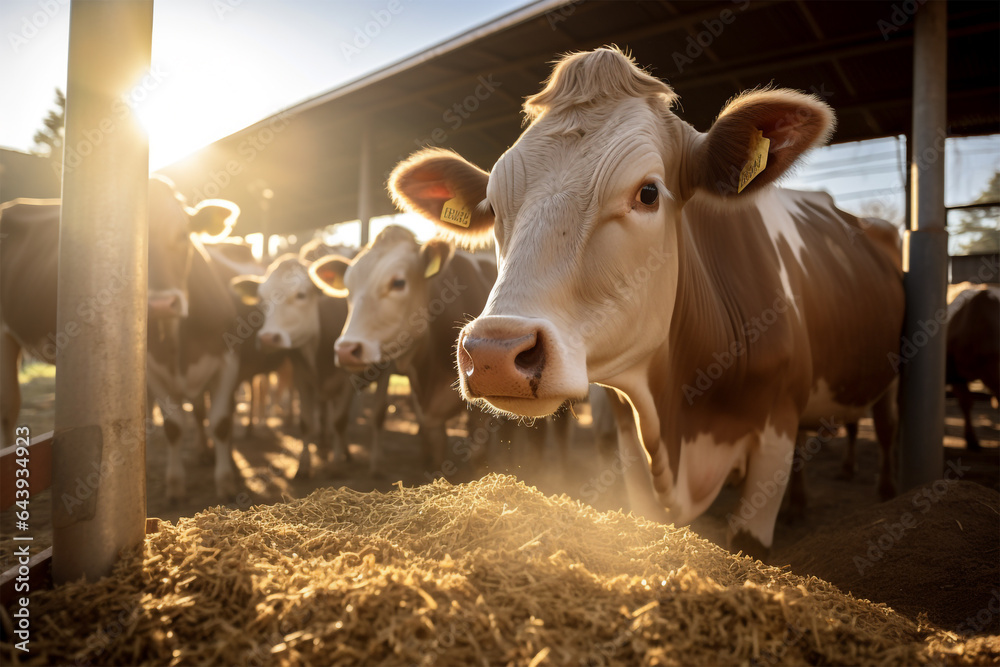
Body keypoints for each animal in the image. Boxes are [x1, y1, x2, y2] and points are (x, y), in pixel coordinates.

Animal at [385, 47, 904, 559]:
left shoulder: (775, 428)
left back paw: (885, 492)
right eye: (492, 207)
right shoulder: (631, 443)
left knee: (886, 425)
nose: (495, 353)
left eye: (649, 192)